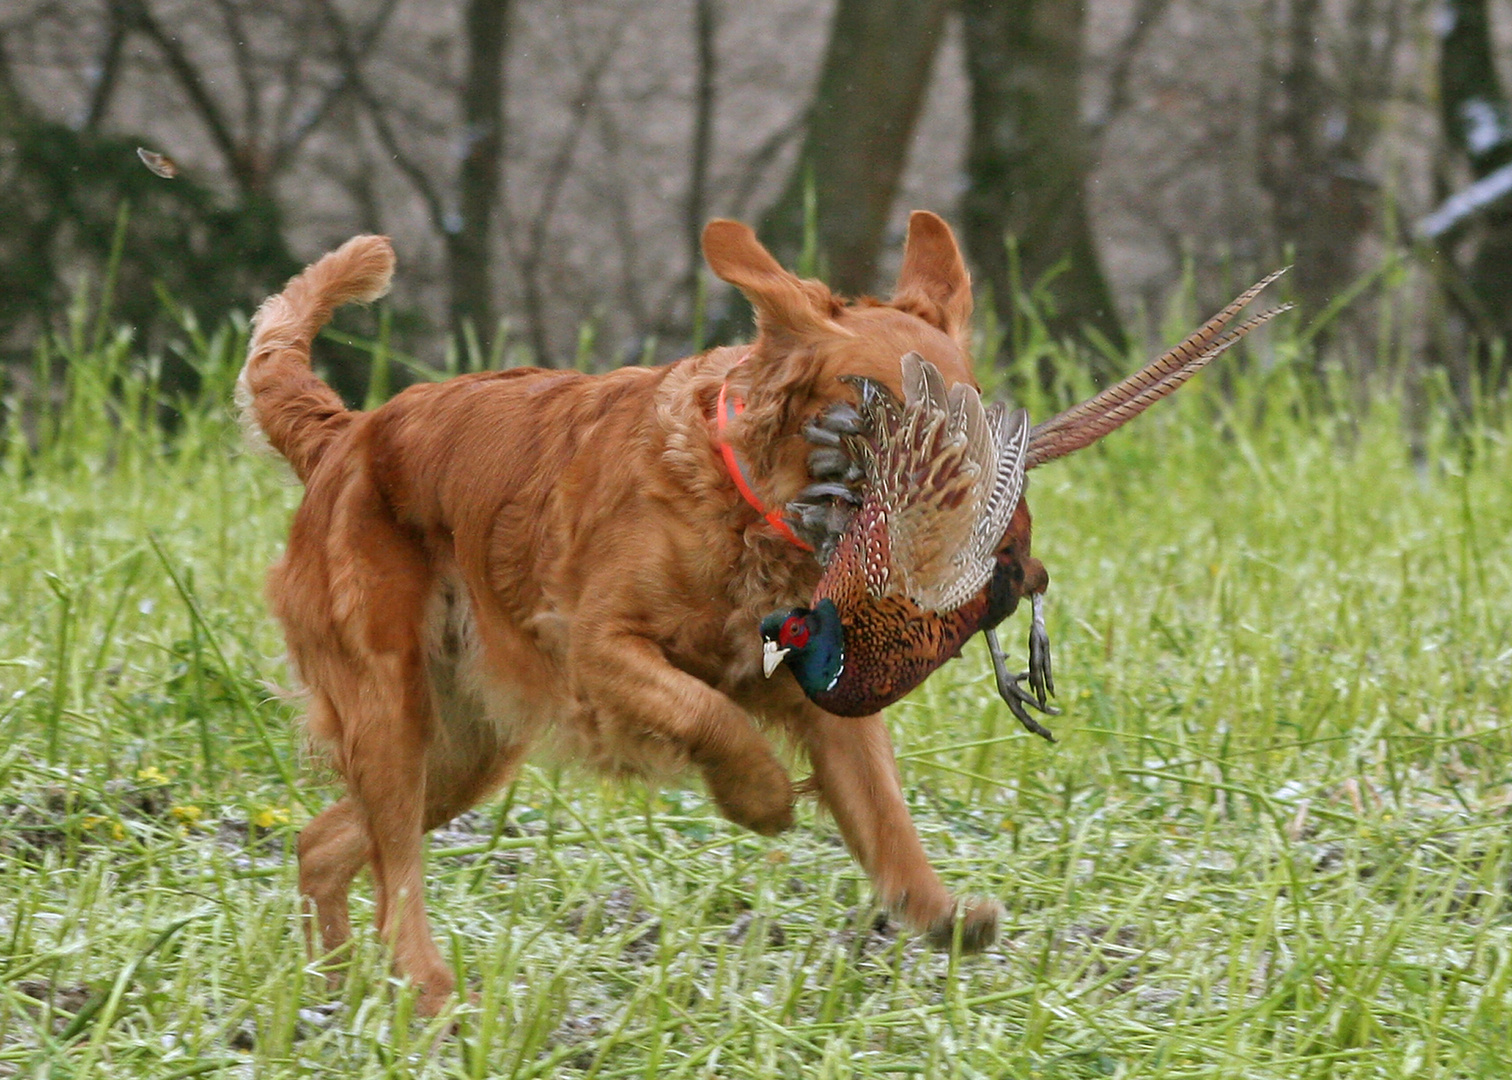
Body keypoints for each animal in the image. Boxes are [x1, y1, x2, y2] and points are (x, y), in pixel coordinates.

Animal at [238, 210, 1003, 1010]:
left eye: (970, 405)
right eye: (877, 399)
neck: (751, 508)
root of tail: (345, 435)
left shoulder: (826, 701)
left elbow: (886, 815)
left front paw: (942, 912)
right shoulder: (598, 651)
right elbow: (712, 713)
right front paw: (760, 797)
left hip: (463, 748)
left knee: (323, 844)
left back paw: (333, 992)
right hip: (392, 707)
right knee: (395, 882)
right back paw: (431, 995)